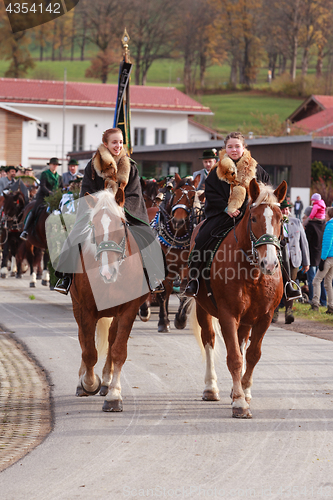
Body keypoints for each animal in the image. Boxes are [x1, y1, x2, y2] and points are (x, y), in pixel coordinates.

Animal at [69, 187, 148, 410]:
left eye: (121, 223)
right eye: (93, 225)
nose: (107, 272)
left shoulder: (129, 310)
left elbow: (118, 350)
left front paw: (113, 395)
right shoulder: (86, 309)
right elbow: (89, 351)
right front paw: (88, 383)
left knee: (112, 340)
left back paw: (106, 381)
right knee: (83, 339)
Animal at [188, 179, 286, 418]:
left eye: (280, 219)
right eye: (253, 218)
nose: (270, 264)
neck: (253, 272)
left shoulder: (264, 317)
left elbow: (252, 355)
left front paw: (243, 392)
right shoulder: (228, 315)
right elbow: (234, 357)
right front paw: (240, 403)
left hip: (246, 320)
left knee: (242, 345)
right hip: (204, 310)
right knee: (209, 340)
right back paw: (211, 388)